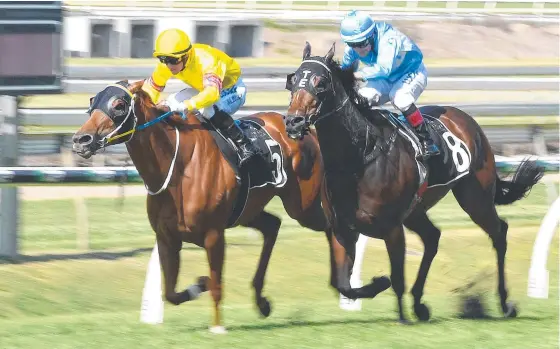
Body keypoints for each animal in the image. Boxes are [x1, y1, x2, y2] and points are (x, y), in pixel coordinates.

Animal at [71, 79, 326, 332]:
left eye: (119, 105)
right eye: (92, 102)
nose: (81, 140)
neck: (179, 168)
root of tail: (302, 128)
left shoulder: (214, 235)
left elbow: (217, 286)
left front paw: (218, 327)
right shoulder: (167, 238)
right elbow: (171, 293)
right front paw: (200, 284)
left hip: (303, 207)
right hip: (249, 210)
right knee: (273, 225)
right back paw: (261, 301)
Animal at [282, 42, 544, 322]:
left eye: (320, 82)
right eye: (293, 80)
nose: (294, 121)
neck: (358, 156)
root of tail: (469, 121)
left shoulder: (392, 227)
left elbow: (396, 277)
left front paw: (400, 314)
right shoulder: (342, 229)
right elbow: (341, 284)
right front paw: (379, 286)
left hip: (475, 198)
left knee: (499, 233)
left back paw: (505, 303)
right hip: (417, 210)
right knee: (432, 237)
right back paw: (419, 303)